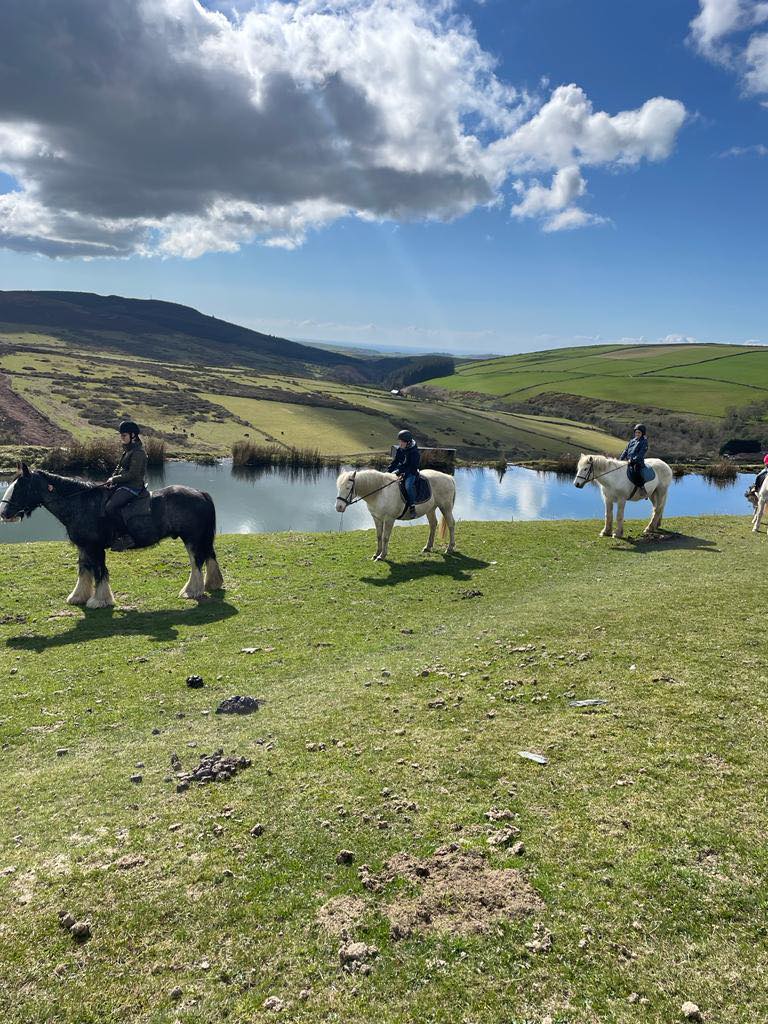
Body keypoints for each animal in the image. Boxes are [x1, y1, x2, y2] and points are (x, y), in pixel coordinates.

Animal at [0, 464, 224, 606]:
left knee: (196, 561)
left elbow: (99, 571)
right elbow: (84, 570)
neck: (81, 503)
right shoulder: (84, 547)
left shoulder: (95, 547)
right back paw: (211, 584)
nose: (4, 513)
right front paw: (78, 597)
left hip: (192, 539)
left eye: (20, 487)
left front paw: (100, 600)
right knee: (209, 556)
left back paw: (191, 591)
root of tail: (200, 493)